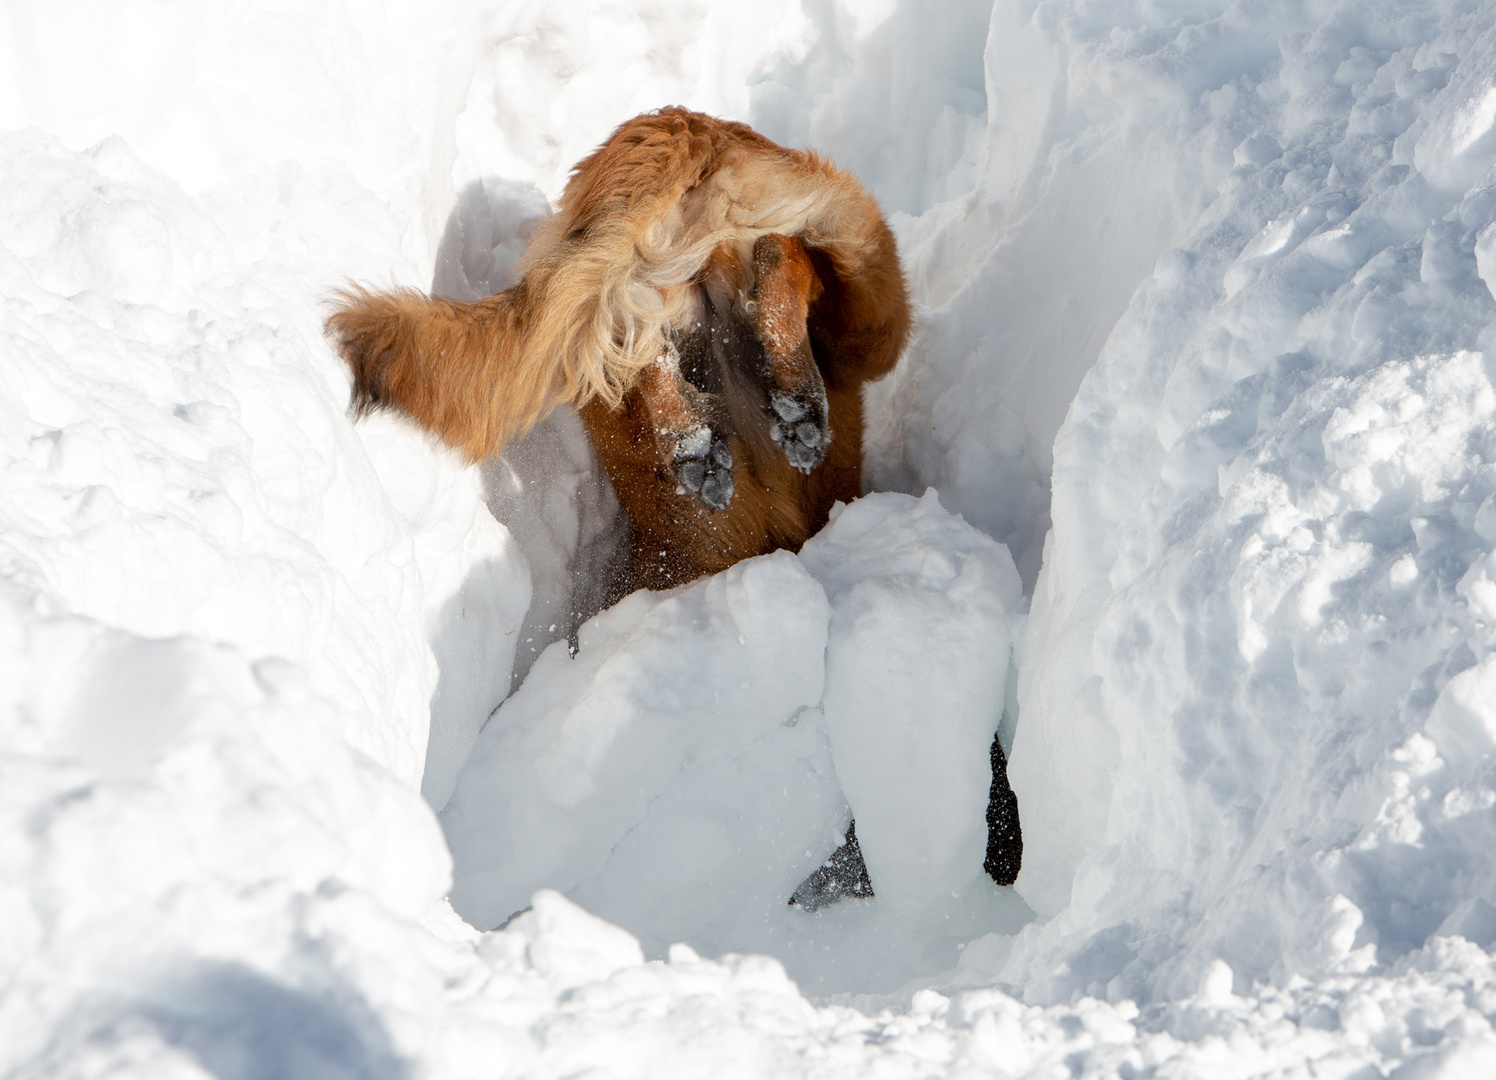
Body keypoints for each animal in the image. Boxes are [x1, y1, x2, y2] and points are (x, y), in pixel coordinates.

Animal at [329, 108, 909, 592]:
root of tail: (682, 123)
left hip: (860, 297)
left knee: (717, 292)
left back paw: (742, 427)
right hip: (867, 314)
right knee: (767, 267)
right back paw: (751, 425)